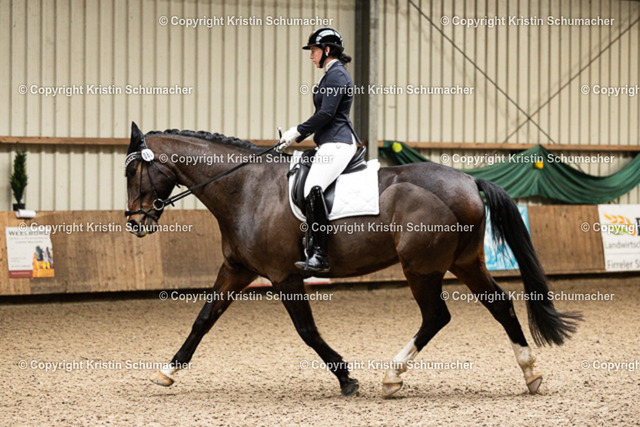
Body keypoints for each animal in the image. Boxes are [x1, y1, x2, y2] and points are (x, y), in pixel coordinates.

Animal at [124, 122, 581, 397]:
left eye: (132, 173)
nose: (134, 223)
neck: (245, 189)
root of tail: (470, 179)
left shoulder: (284, 277)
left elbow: (307, 331)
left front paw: (347, 377)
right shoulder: (237, 270)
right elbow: (203, 319)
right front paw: (167, 371)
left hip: (422, 267)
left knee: (436, 316)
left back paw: (391, 377)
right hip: (465, 262)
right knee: (500, 304)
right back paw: (531, 373)